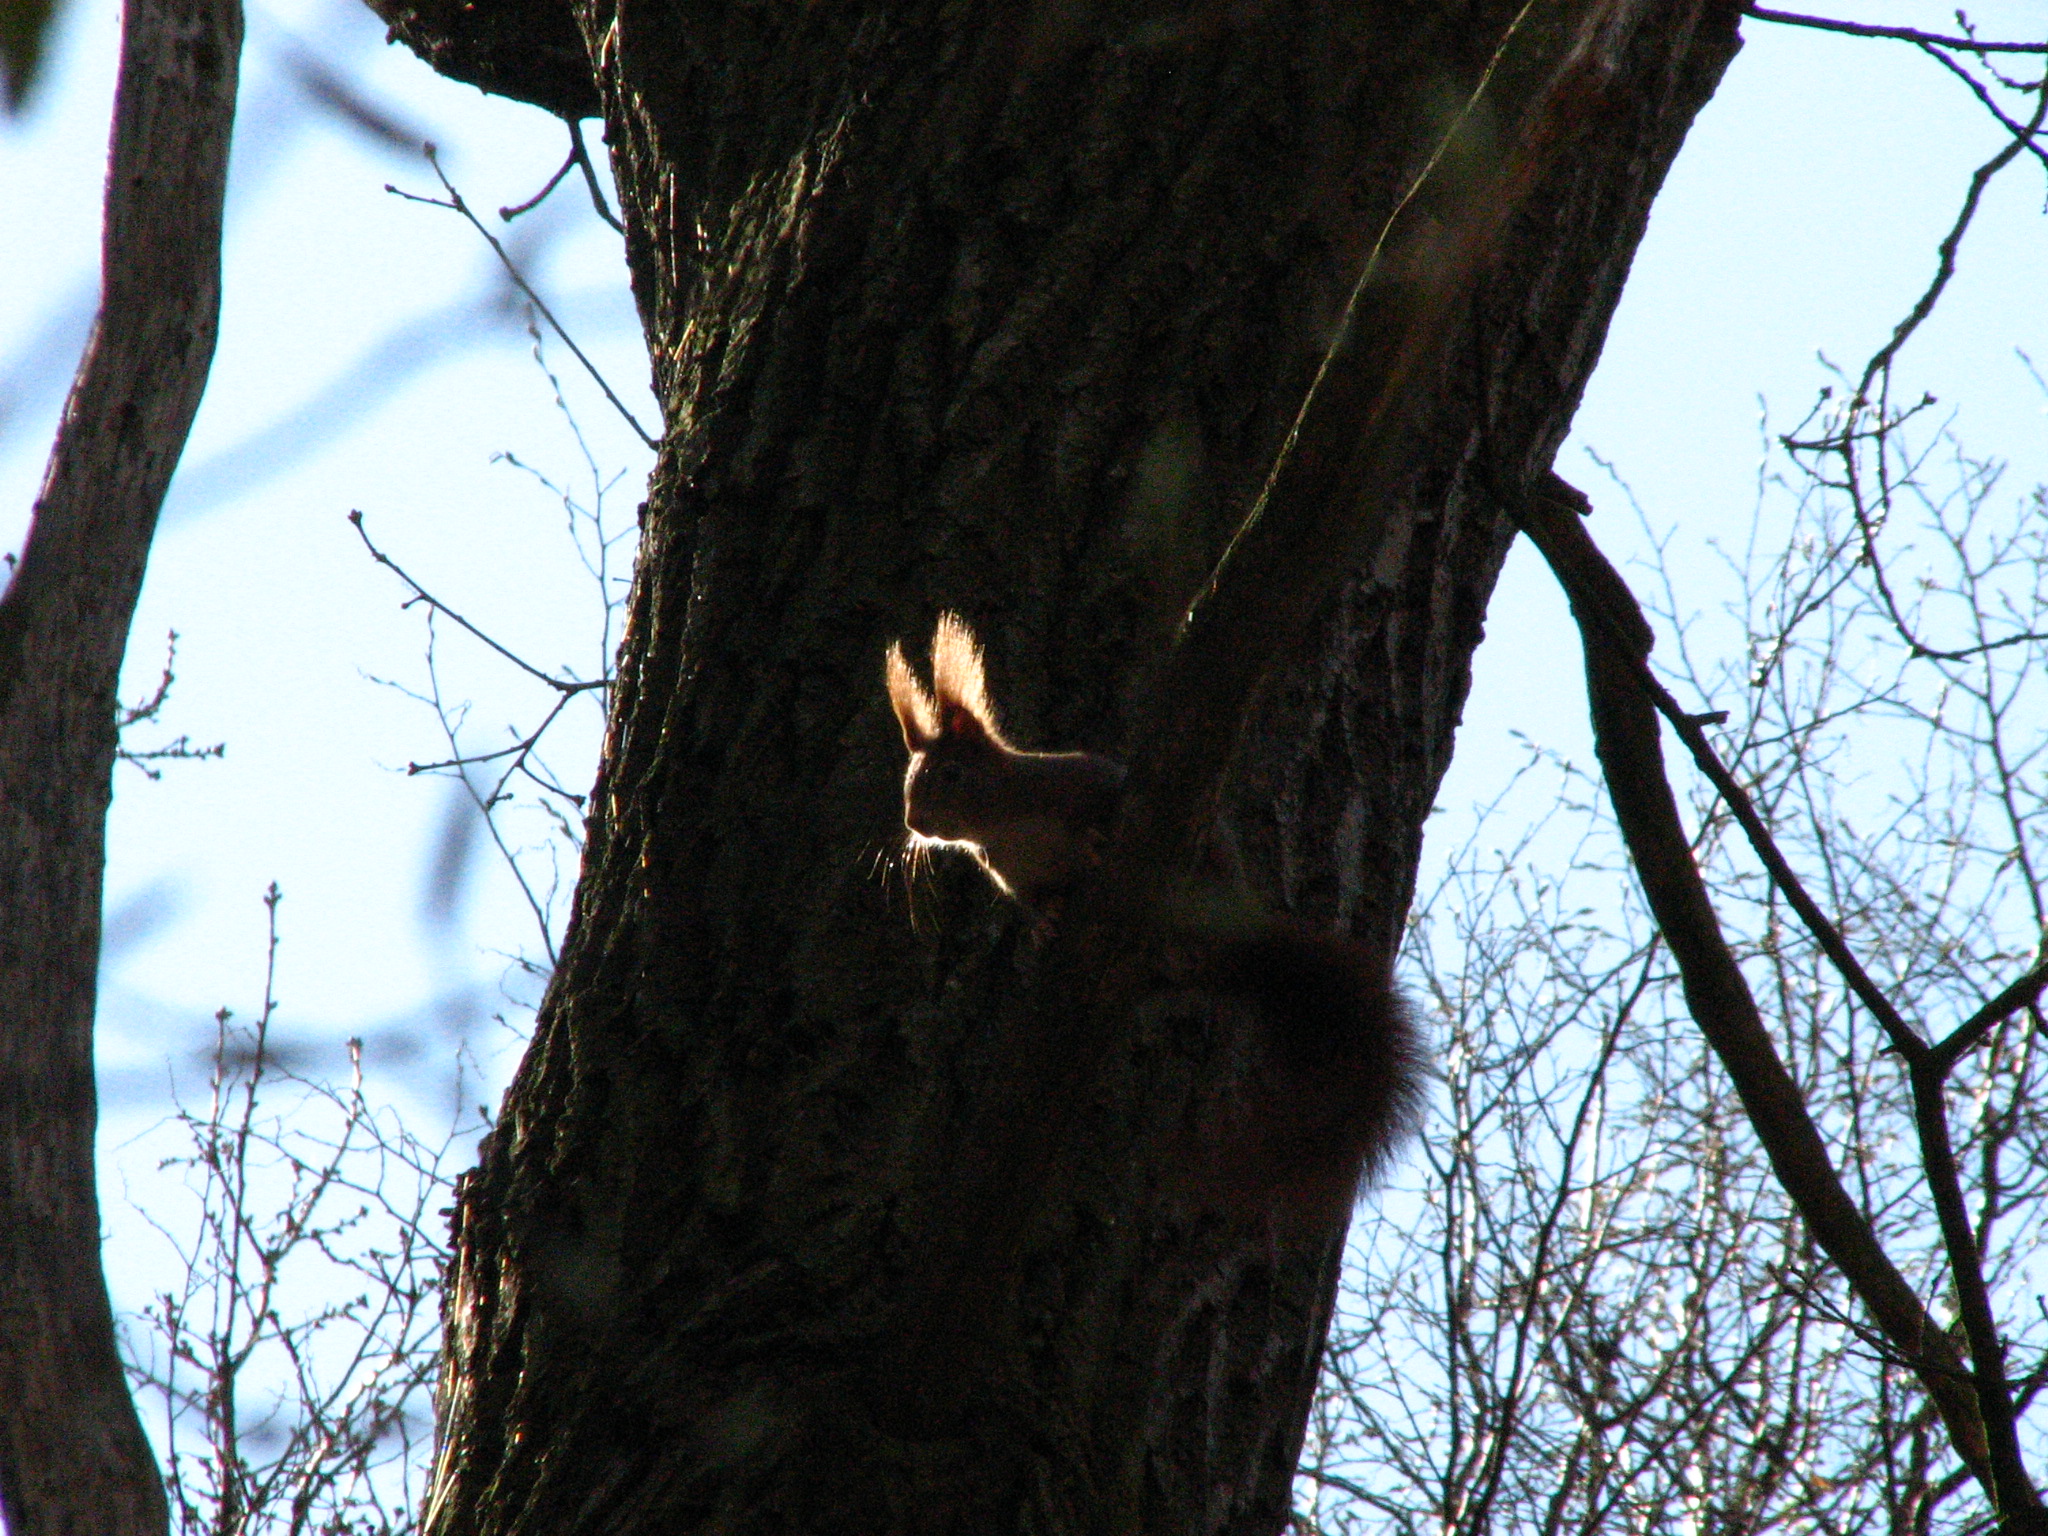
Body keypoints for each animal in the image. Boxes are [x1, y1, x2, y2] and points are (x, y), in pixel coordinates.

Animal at [880, 618, 1425, 1212]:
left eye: (951, 774)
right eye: (909, 782)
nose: (914, 822)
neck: (1006, 823)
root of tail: (1235, 954)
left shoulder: (1082, 784)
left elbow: (1098, 813)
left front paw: (1094, 843)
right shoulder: (1013, 875)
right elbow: (1037, 904)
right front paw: (1046, 926)